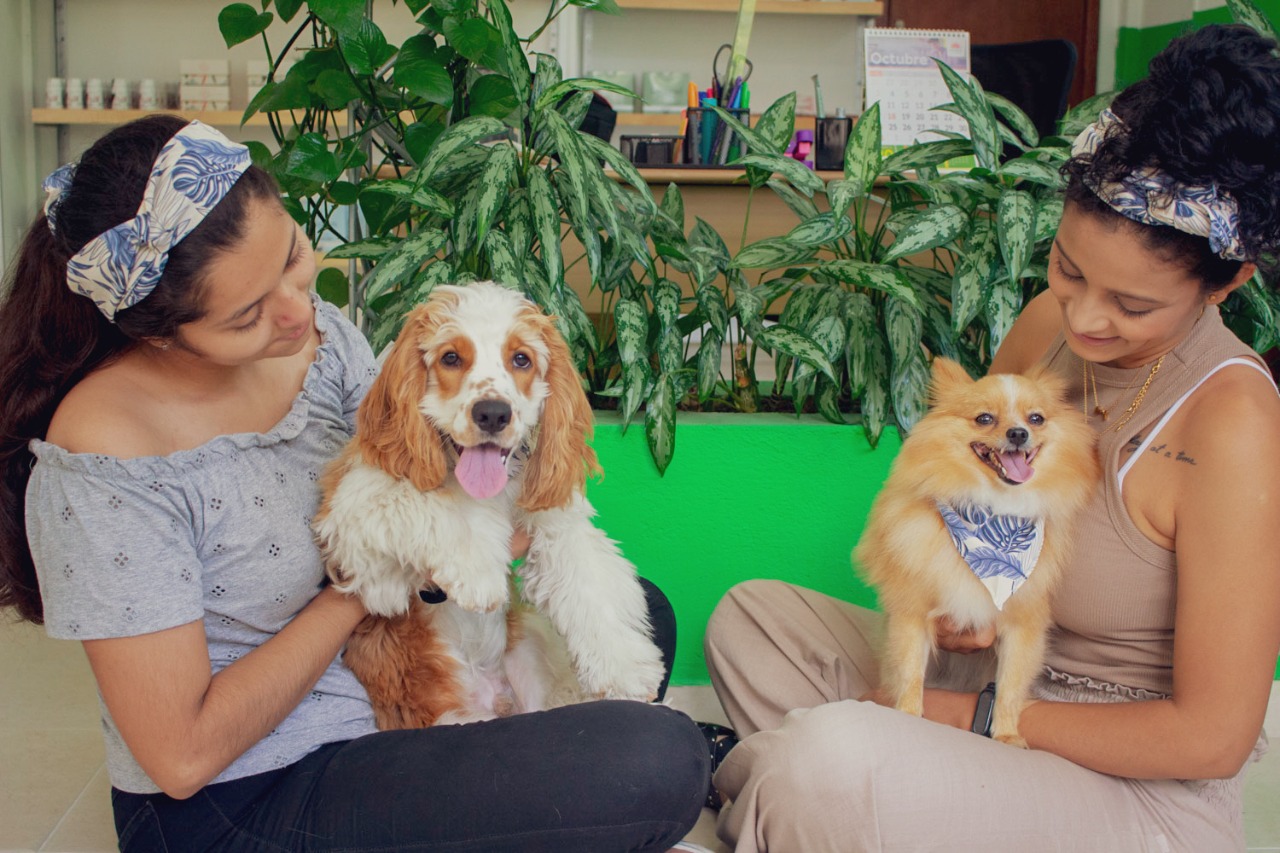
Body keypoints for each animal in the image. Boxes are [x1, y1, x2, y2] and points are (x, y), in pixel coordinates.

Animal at [314, 277, 665, 722]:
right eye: (450, 357)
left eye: (521, 359)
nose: (493, 413)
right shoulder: (351, 514)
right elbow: (428, 505)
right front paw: (477, 572)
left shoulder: (556, 522)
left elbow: (590, 582)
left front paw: (625, 669)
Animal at [855, 356, 1095, 742]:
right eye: (984, 418)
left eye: (1036, 419)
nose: (1018, 433)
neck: (991, 512)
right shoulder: (911, 614)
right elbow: (909, 673)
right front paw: (907, 716)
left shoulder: (1023, 624)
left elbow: (1010, 685)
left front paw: (1007, 735)